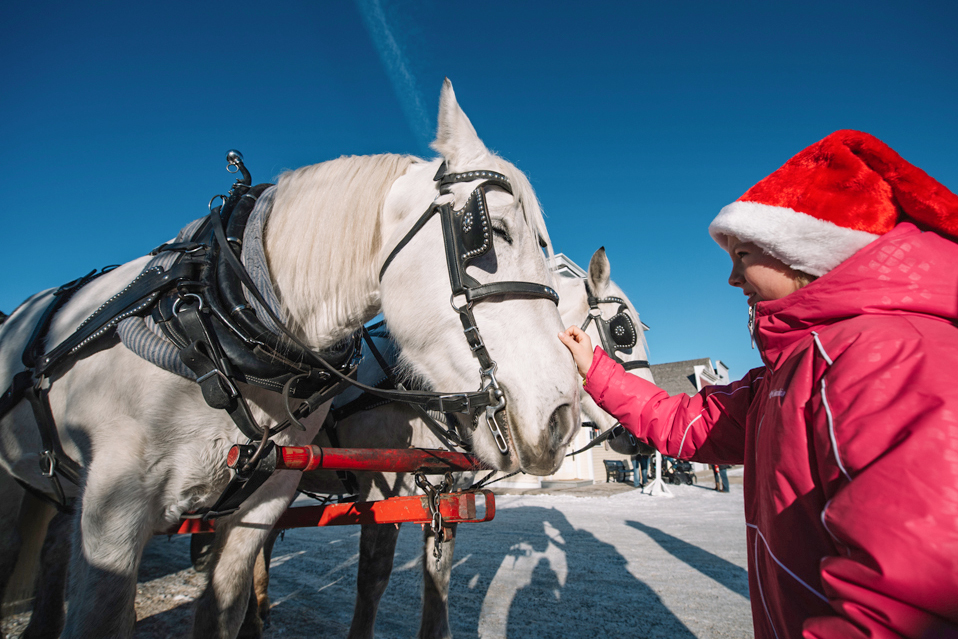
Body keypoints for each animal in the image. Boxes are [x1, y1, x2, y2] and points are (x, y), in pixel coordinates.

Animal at [0, 81, 576, 639]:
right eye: (492, 231)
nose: (562, 415)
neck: (223, 325)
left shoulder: (268, 503)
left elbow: (224, 611)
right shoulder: (113, 510)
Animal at [238, 246, 660, 639]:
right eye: (622, 330)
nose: (643, 439)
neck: (424, 388)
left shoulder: (447, 491)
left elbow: (438, 575)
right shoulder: (379, 491)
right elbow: (373, 577)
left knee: (265, 538)